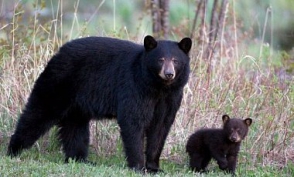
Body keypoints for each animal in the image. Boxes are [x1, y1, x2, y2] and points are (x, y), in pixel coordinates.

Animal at [7, 35, 193, 173]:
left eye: (175, 60)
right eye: (160, 59)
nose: (169, 74)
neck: (158, 87)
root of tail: (58, 52)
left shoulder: (171, 98)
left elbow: (160, 127)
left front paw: (154, 167)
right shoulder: (135, 87)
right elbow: (133, 120)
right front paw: (139, 166)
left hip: (77, 103)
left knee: (75, 128)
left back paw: (80, 159)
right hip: (59, 83)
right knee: (39, 112)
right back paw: (13, 150)